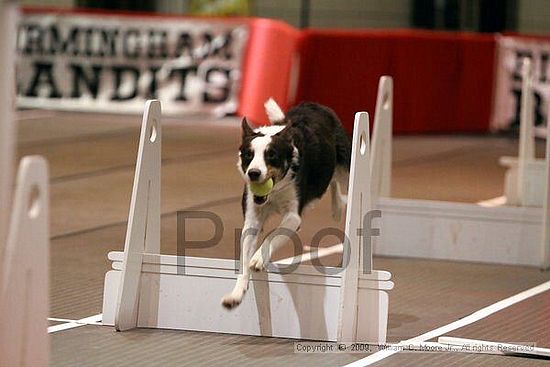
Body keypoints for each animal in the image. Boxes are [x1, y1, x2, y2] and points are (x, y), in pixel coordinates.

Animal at [222, 99, 352, 310]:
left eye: (272, 156)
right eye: (248, 155)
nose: (254, 173)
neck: (274, 192)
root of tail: (314, 104)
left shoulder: (293, 215)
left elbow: (273, 234)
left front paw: (258, 258)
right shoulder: (252, 217)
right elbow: (244, 257)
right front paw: (236, 295)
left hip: (345, 165)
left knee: (337, 178)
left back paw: (338, 207)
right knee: (330, 181)